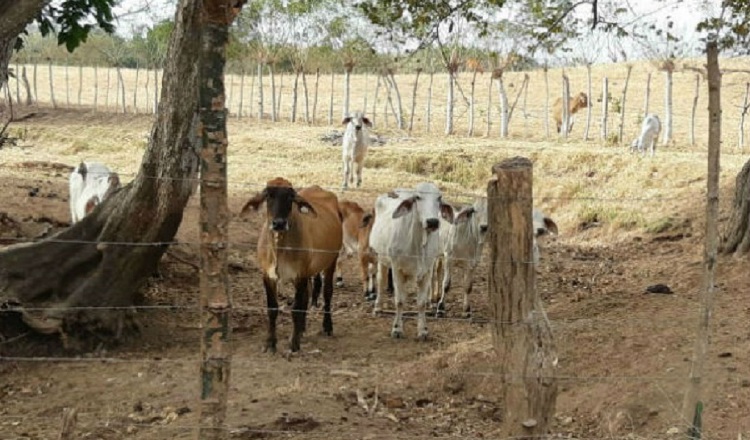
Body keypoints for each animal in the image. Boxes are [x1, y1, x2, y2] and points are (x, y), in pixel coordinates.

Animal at [241, 177, 344, 352]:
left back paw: (327, 326)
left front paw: (294, 343)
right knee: (307, 295)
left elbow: (296, 307)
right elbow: (273, 308)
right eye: (268, 195)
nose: (279, 223)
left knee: (327, 293)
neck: (279, 248)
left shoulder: (300, 275)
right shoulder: (268, 276)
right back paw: (302, 328)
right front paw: (270, 342)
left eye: (290, 196)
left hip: (331, 260)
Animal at [368, 182, 456, 340]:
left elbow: (421, 303)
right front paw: (397, 329)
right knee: (380, 280)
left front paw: (423, 330)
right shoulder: (396, 268)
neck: (417, 245)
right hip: (381, 258)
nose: (432, 221)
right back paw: (378, 307)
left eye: (439, 198)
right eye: (417, 197)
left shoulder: (427, 270)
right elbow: (399, 300)